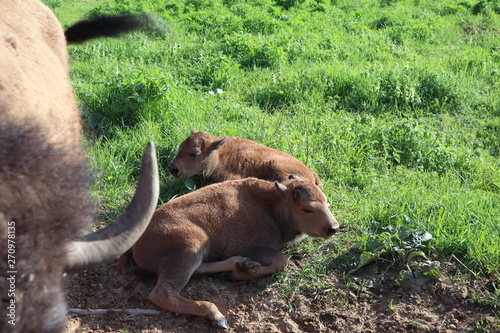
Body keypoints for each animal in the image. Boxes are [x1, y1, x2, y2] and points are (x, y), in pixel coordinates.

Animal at [120, 175, 340, 328]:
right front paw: (241, 273)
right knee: (163, 293)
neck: (270, 204)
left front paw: (241, 269)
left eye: (327, 203)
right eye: (307, 209)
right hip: (189, 248)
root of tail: (137, 242)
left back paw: (239, 264)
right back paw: (216, 315)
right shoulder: (248, 245)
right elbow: (280, 260)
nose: (333, 228)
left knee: (198, 270)